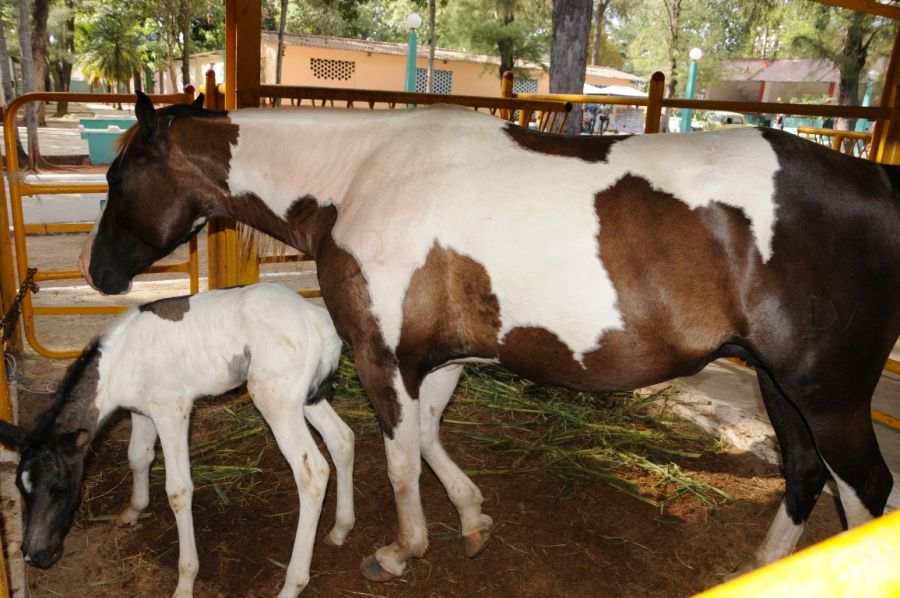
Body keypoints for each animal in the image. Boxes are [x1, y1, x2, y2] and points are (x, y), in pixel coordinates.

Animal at [82, 92, 900, 584]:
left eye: (119, 177)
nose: (99, 274)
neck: (363, 173)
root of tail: (878, 184)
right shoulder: (444, 357)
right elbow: (429, 440)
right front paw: (472, 518)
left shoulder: (383, 359)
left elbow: (400, 459)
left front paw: (401, 549)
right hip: (781, 387)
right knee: (804, 477)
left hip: (829, 399)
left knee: (864, 494)